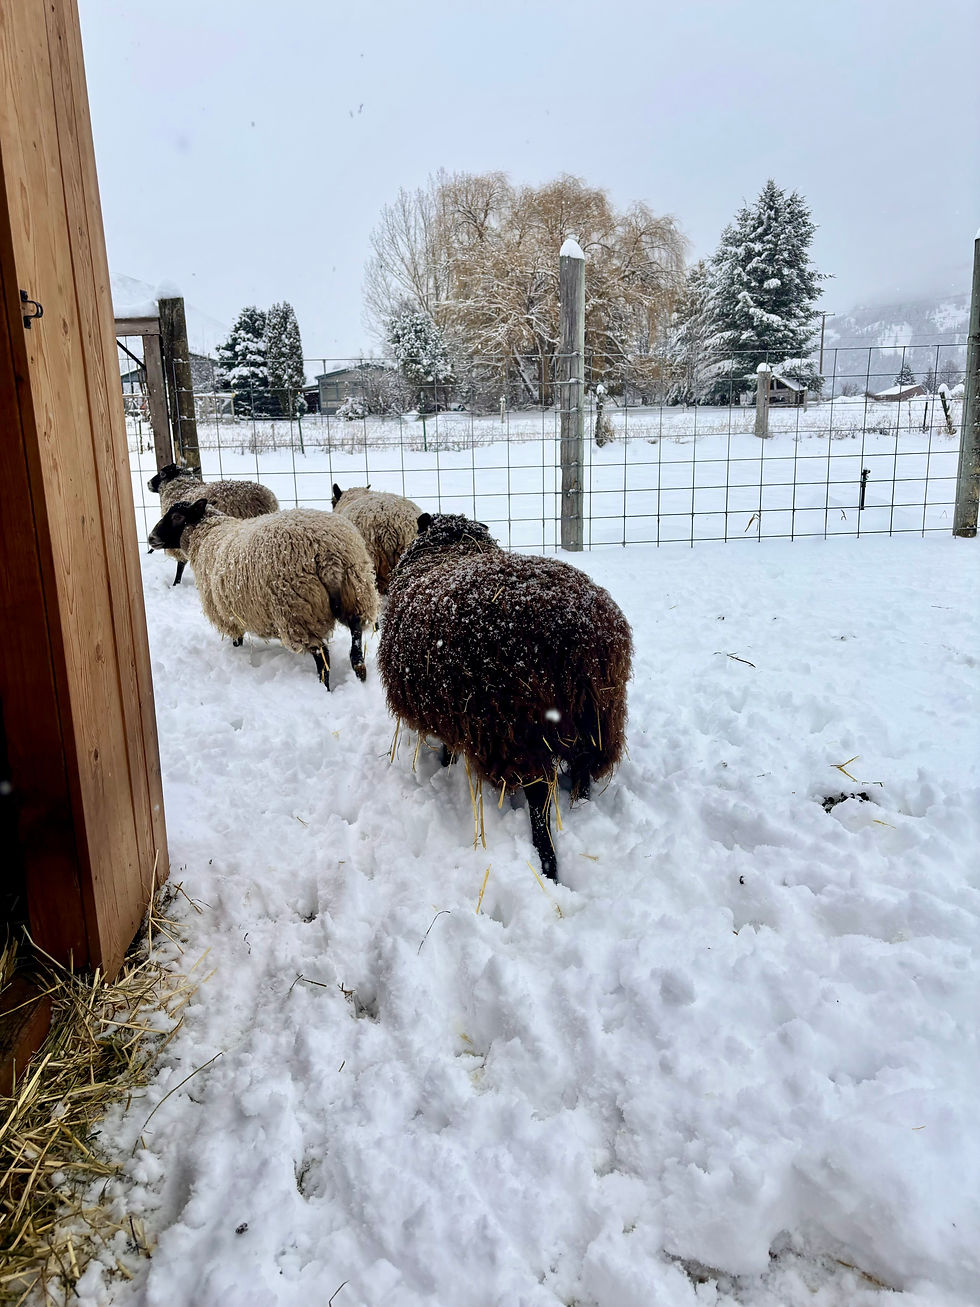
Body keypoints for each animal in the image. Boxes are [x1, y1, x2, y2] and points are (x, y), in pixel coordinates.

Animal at [147, 463, 279, 586]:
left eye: (162, 473)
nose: (148, 483)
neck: (182, 487)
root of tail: (262, 499)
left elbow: (180, 565)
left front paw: (176, 584)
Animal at [147, 498, 379, 689]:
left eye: (177, 517)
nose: (150, 538)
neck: (207, 535)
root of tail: (328, 555)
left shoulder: (226, 615)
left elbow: (237, 638)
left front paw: (237, 651)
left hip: (298, 611)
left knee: (322, 656)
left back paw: (324, 687)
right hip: (356, 591)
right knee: (356, 637)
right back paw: (360, 672)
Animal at [377, 513, 633, 881]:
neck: (452, 547)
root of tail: (576, 630)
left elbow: (448, 749)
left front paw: (445, 764)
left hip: (518, 729)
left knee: (539, 799)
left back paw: (548, 863)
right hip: (598, 715)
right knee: (584, 767)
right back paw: (580, 808)